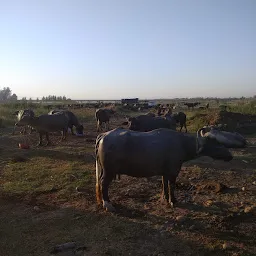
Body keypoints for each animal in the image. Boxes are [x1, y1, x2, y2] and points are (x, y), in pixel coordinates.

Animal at [95, 126, 233, 212]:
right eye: (216, 143)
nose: (230, 155)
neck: (182, 144)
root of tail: (103, 135)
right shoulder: (173, 172)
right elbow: (171, 186)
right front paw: (173, 201)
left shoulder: (165, 173)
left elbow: (164, 185)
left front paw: (166, 199)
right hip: (109, 171)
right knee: (103, 183)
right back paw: (107, 204)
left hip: (104, 170)